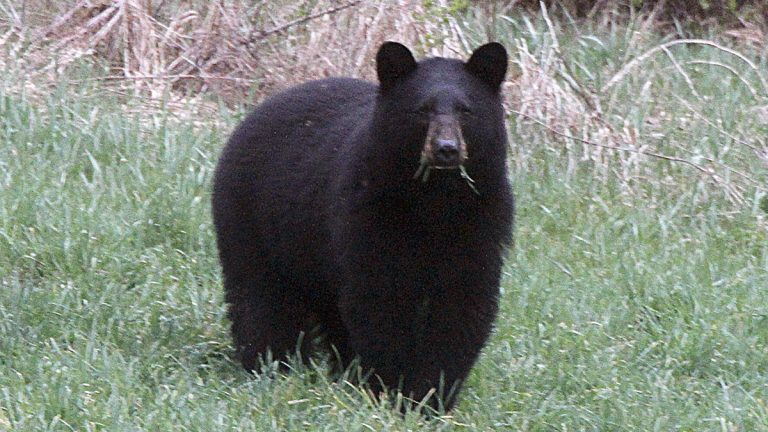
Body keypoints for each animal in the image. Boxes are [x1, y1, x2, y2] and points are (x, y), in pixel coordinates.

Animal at [211, 41, 514, 411]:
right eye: (422, 110)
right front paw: (390, 390)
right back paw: (271, 365)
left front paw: (431, 398)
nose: (446, 149)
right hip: (253, 219)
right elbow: (378, 302)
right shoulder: (369, 216)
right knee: (260, 298)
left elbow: (462, 308)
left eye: (466, 111)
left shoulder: (481, 223)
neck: (434, 202)